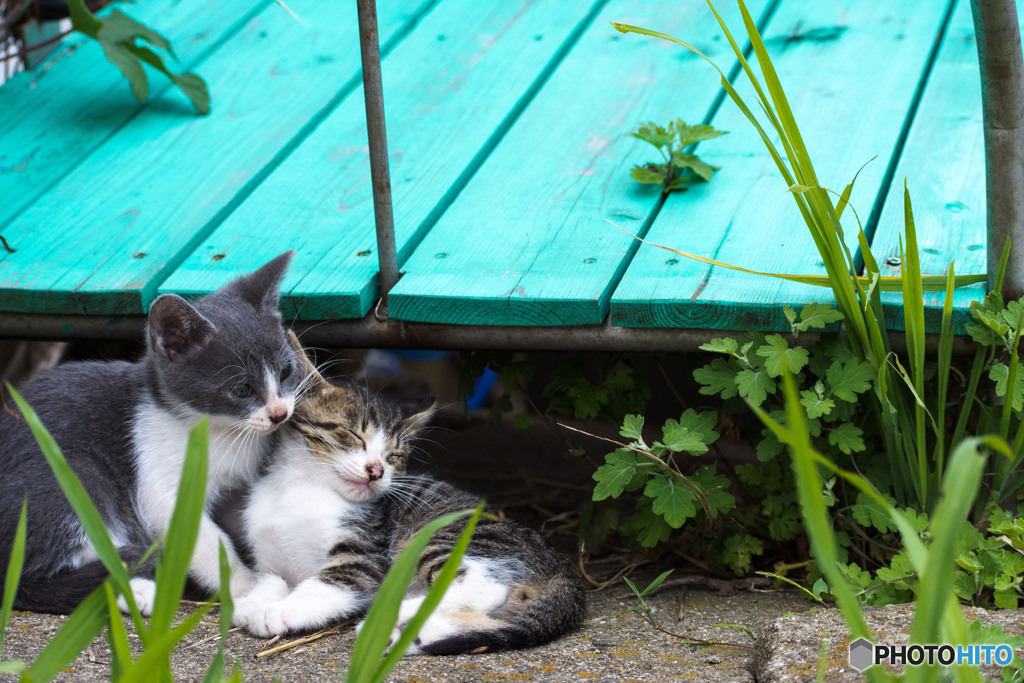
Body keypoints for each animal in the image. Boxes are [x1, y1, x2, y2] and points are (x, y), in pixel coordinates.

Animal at [0, 250, 301, 614]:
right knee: (24, 578)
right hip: (68, 475)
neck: (219, 430)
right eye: (242, 389)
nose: (279, 413)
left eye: (286, 371)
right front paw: (243, 587)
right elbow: (201, 539)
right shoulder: (159, 486)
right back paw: (137, 592)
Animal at [234, 339, 585, 655]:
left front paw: (277, 611)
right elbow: (271, 580)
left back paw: (390, 615)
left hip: (441, 535)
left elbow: (323, 586)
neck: (302, 486)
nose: (376, 470)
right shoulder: (271, 560)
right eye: (354, 435)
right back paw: (405, 636)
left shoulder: (361, 560)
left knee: (485, 586)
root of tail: (560, 565)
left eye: (394, 456)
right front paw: (250, 603)